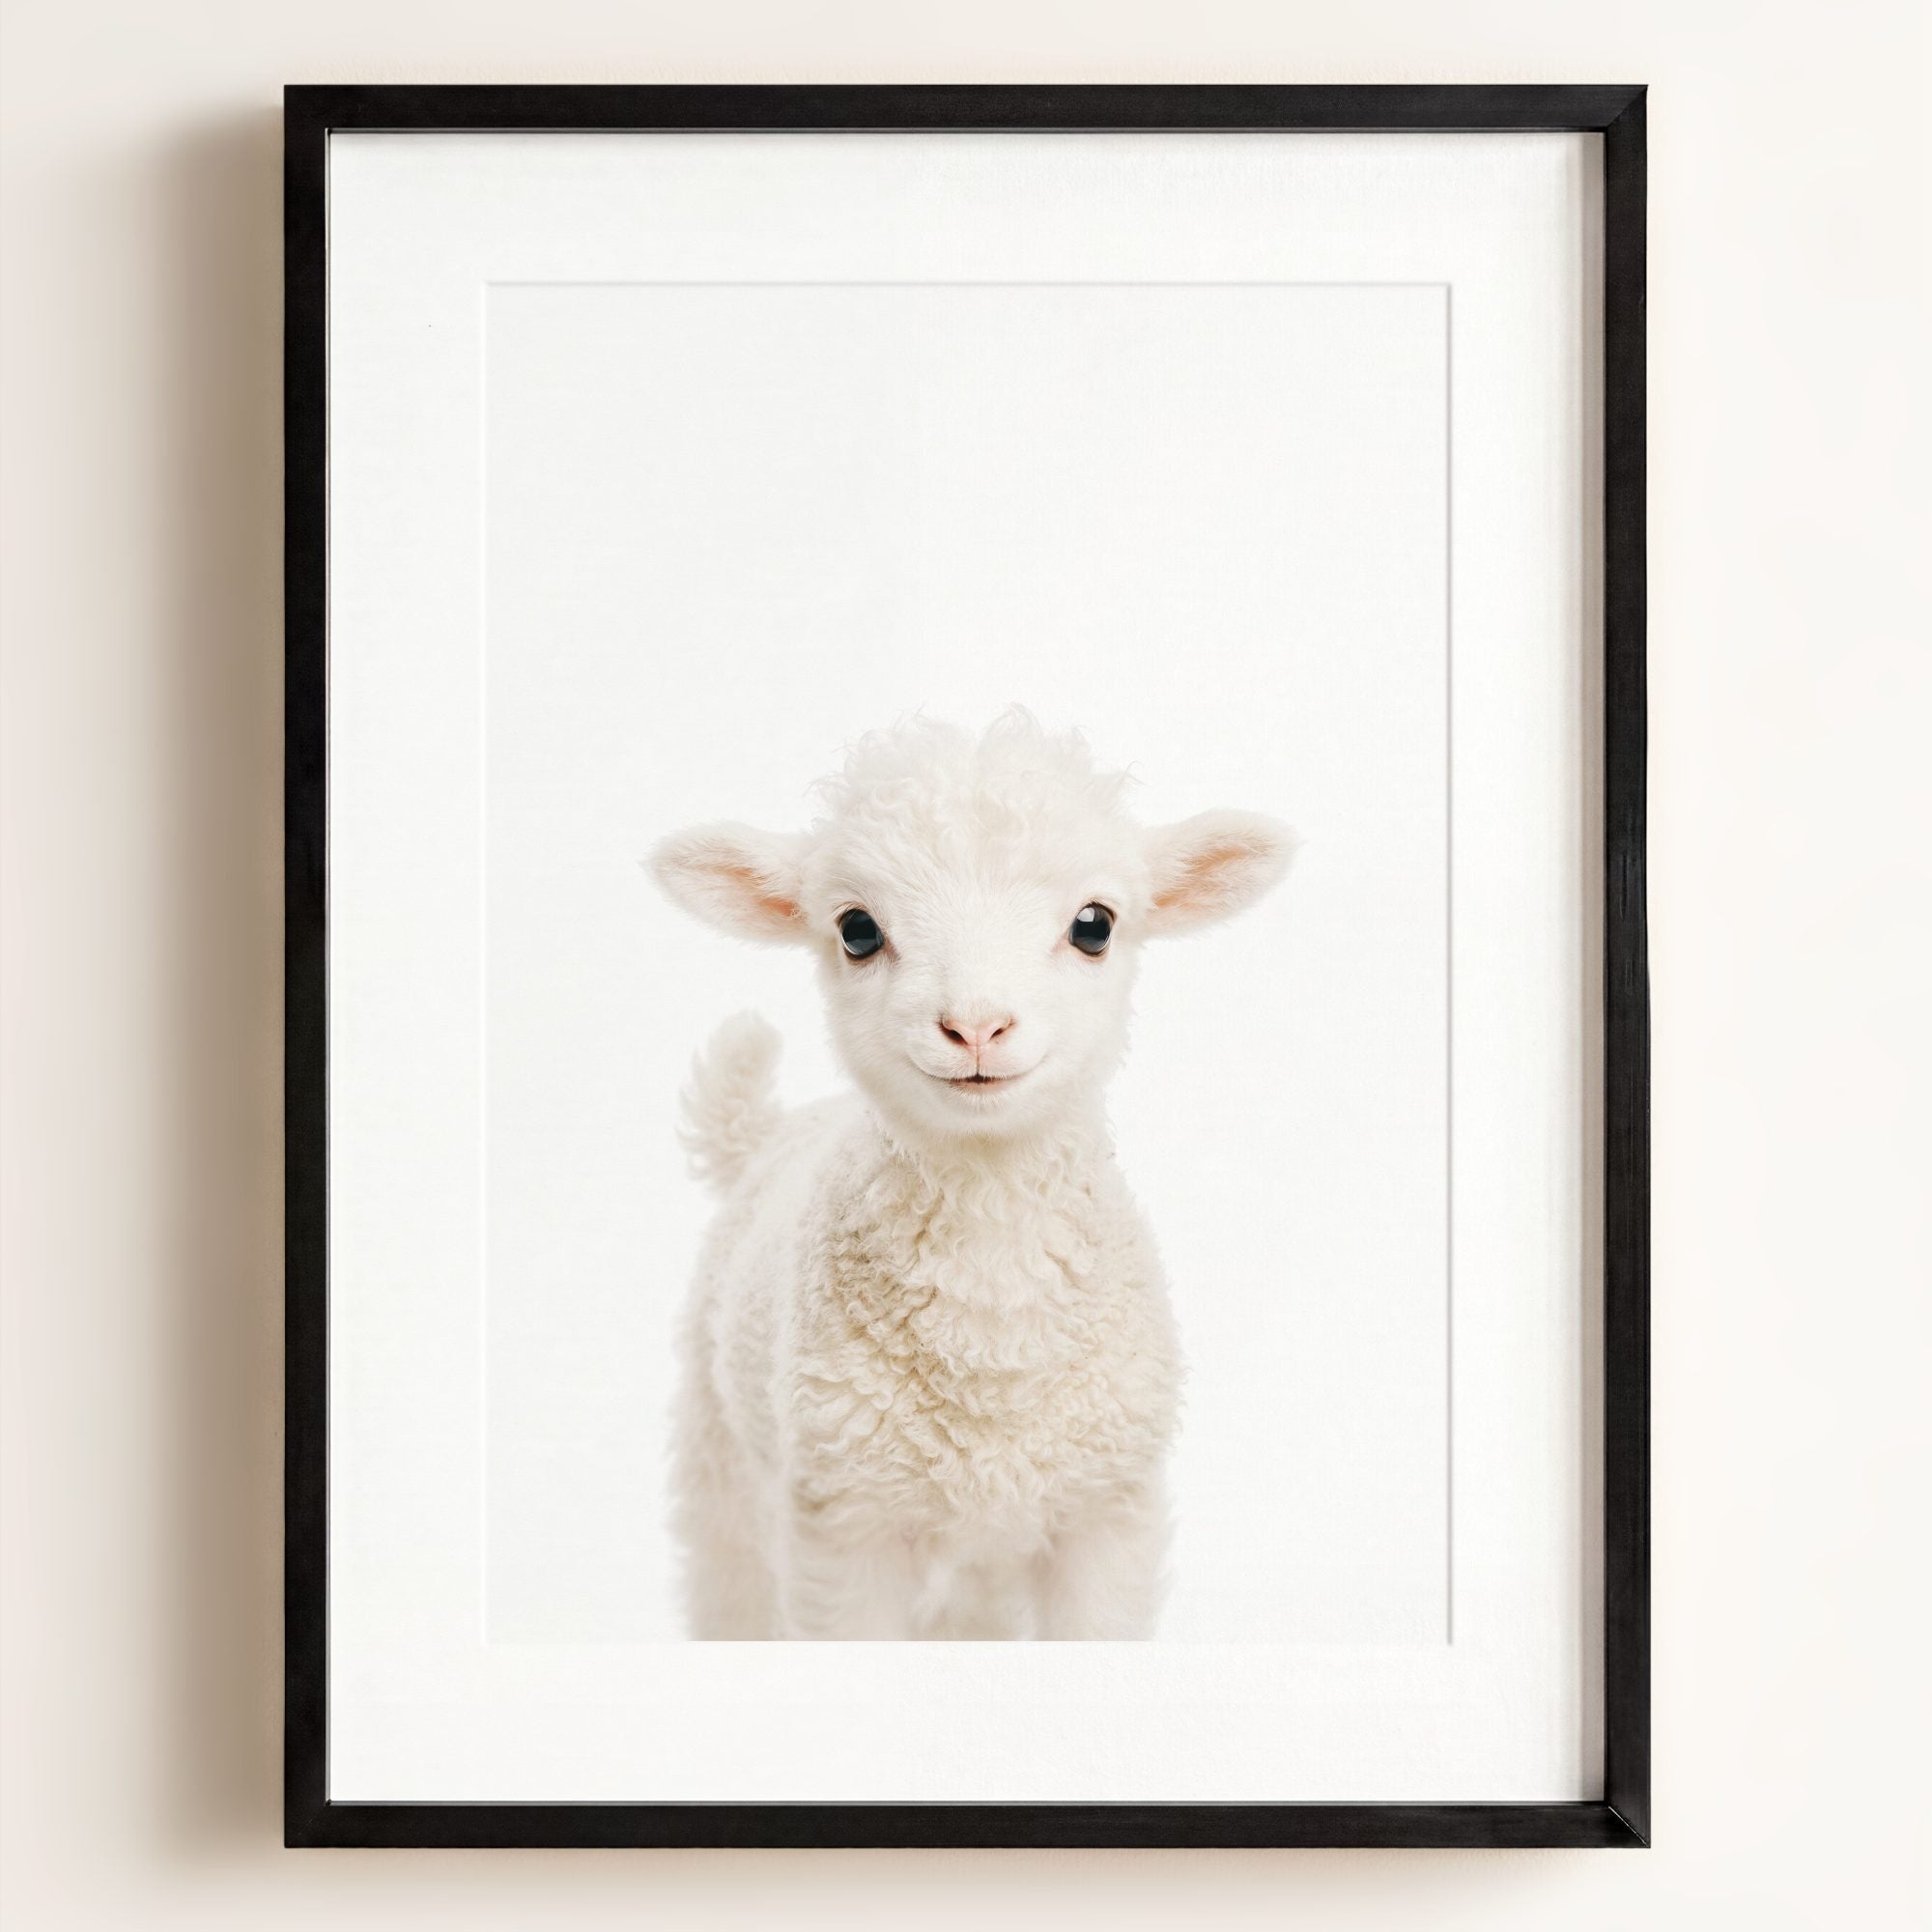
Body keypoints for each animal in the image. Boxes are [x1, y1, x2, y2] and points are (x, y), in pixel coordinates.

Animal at [649, 711, 1294, 1639]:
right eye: (857, 929)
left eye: (1095, 924)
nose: (977, 1025)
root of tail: (767, 1133)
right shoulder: (845, 1527)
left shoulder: (1106, 1515)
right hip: (723, 1463)